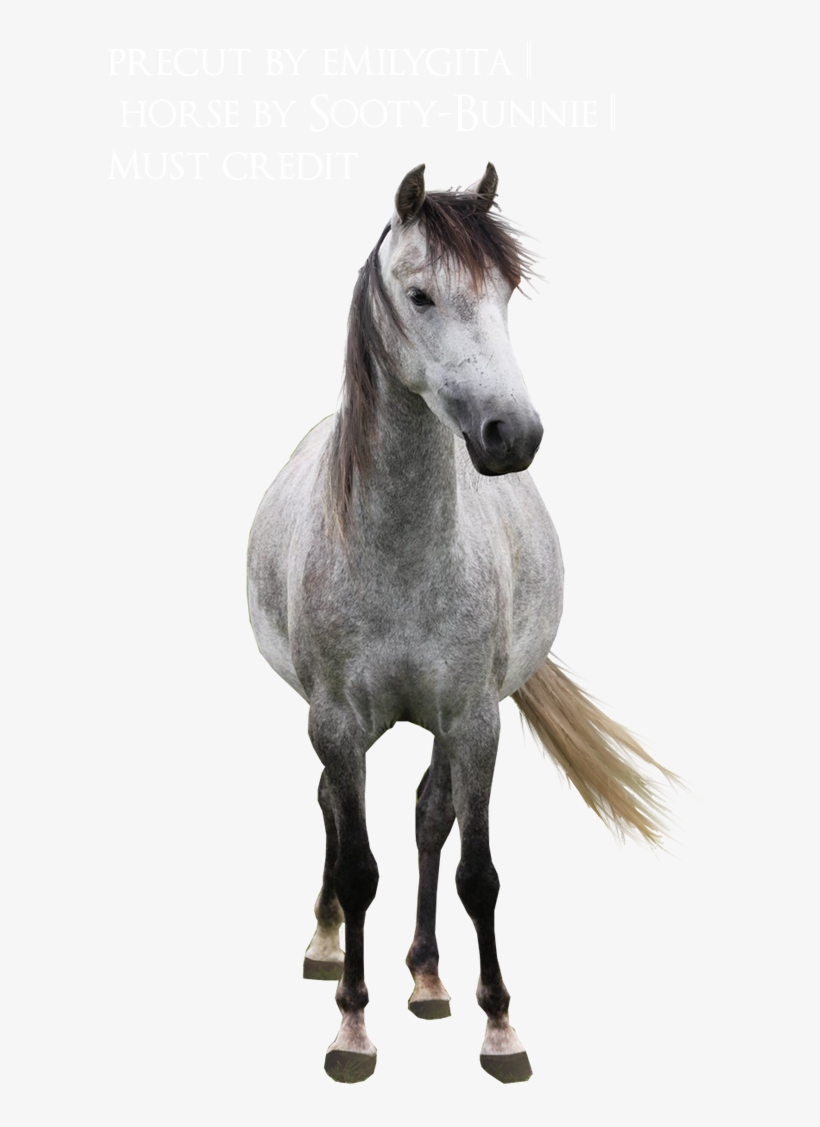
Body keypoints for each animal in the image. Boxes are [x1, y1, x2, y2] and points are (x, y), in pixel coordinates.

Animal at [247, 163, 675, 1085]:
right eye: (421, 295)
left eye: (505, 292)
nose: (513, 434)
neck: (403, 553)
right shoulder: (336, 721)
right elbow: (359, 865)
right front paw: (351, 1028)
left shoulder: (476, 719)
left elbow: (476, 870)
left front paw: (499, 1025)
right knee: (336, 808)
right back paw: (329, 941)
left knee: (427, 814)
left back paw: (430, 976)